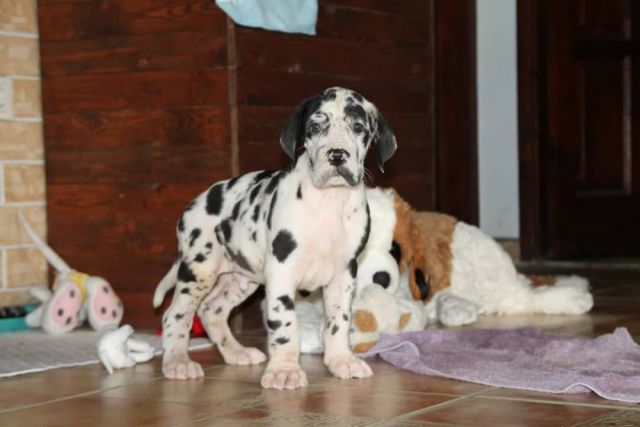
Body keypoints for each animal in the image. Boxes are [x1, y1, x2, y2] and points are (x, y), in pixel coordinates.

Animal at [153, 87, 397, 389]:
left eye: (359, 127)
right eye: (316, 126)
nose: (337, 155)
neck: (329, 200)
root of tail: (193, 205)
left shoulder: (344, 273)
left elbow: (338, 321)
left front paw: (341, 360)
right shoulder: (282, 269)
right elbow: (286, 324)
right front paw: (284, 370)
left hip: (240, 278)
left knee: (212, 310)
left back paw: (237, 353)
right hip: (199, 269)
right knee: (175, 316)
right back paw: (177, 362)